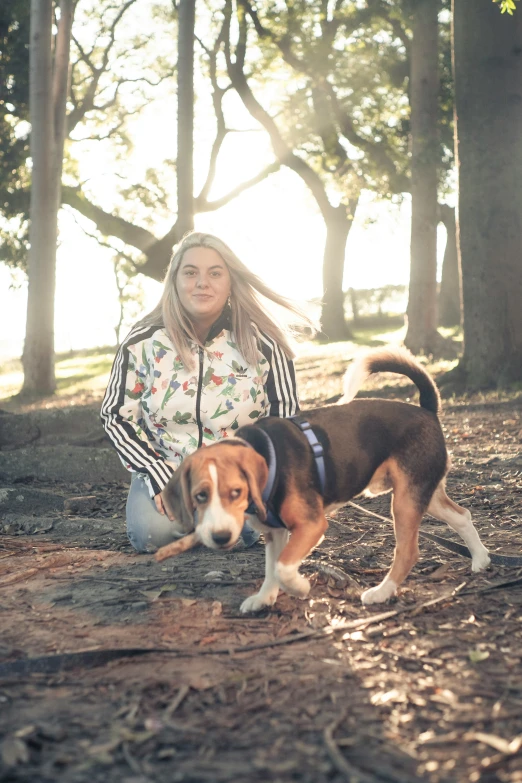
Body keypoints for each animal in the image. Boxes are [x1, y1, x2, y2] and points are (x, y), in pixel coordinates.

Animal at [156, 350, 490, 612]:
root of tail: (427, 410)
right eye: (200, 496)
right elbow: (271, 569)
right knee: (462, 516)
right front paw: (265, 599)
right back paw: (480, 560)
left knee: (409, 552)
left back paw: (381, 593)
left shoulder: (311, 525)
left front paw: (300, 588)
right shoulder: (276, 532)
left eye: (235, 492)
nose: (220, 537)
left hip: (406, 501)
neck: (266, 454)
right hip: (424, 493)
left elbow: (282, 567)